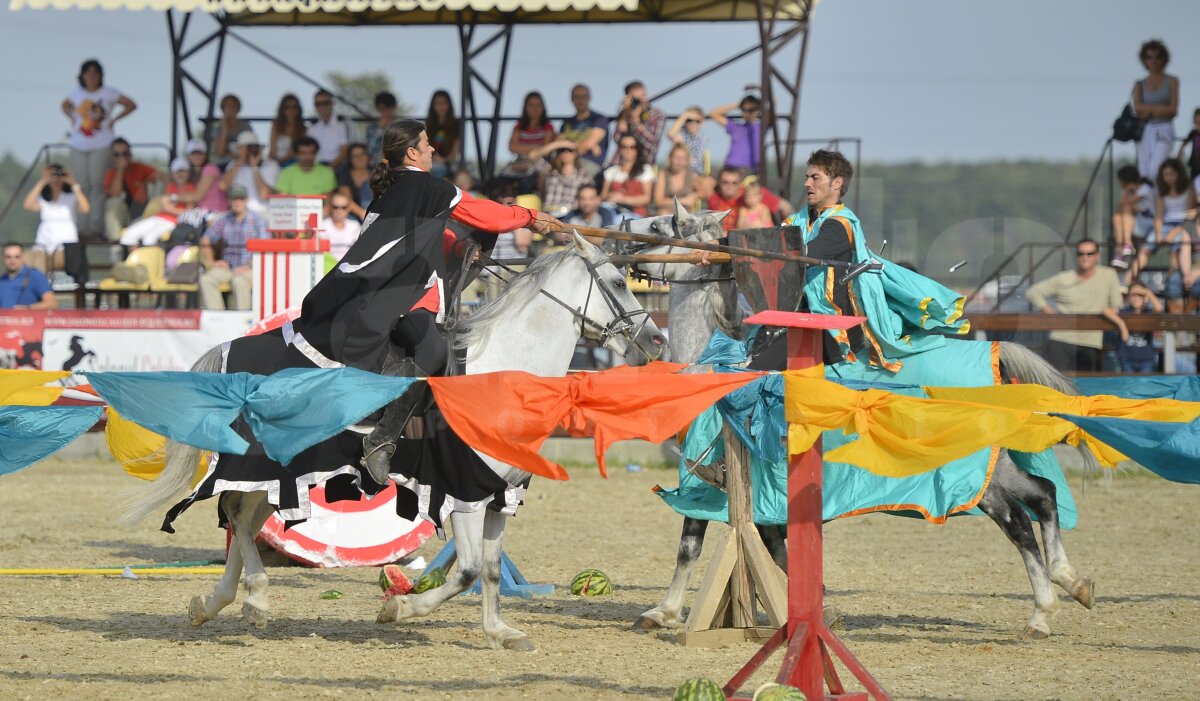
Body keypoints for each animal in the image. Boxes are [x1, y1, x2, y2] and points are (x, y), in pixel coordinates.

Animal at [126, 235, 672, 652]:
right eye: (619, 282)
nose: (657, 341)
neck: (499, 374)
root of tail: (233, 352)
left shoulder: (501, 498)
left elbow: (491, 571)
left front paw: (500, 632)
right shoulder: (467, 497)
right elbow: (467, 571)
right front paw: (399, 609)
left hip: (281, 479)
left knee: (242, 523)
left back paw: (213, 605)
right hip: (268, 469)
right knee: (239, 522)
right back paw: (255, 598)